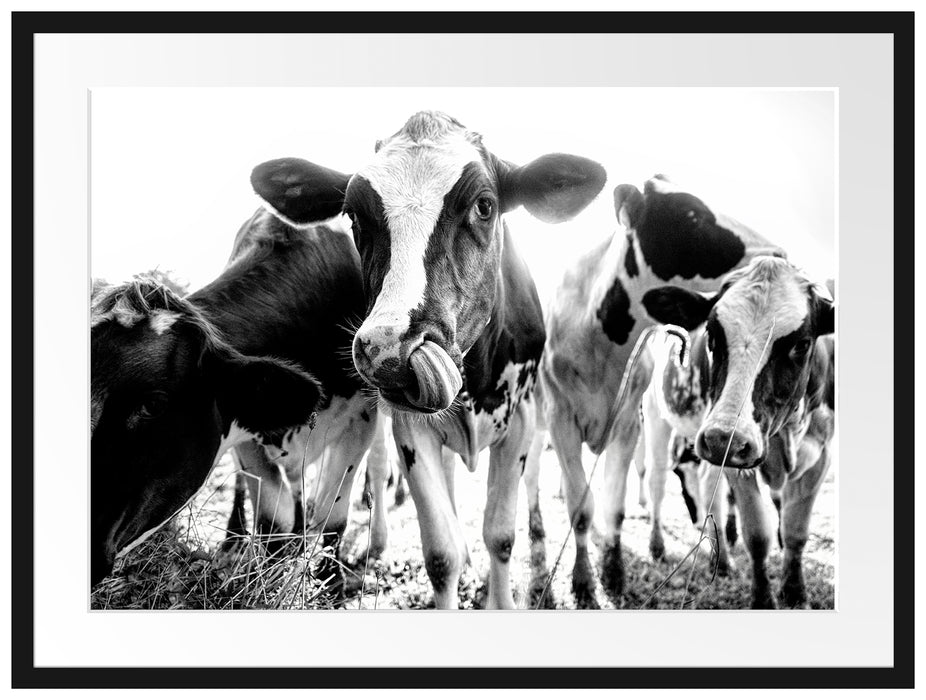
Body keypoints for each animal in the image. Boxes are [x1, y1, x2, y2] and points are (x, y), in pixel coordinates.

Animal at [90, 205, 388, 588]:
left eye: (153, 404)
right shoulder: (245, 431)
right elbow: (274, 520)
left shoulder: (359, 420)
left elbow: (333, 516)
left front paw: (331, 581)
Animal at [248, 109, 608, 608]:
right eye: (354, 215)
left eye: (484, 206)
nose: (389, 350)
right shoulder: (410, 429)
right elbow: (441, 552)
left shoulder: (520, 421)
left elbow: (500, 536)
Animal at [540, 176, 788, 608]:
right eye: (691, 214)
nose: (778, 254)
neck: (603, 341)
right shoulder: (562, 420)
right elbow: (580, 508)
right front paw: (584, 581)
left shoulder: (626, 423)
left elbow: (614, 503)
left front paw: (613, 571)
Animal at [640, 258, 836, 608]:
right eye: (712, 335)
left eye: (801, 344)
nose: (722, 439)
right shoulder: (736, 459)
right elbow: (757, 534)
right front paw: (763, 599)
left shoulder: (820, 456)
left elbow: (797, 530)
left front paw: (795, 591)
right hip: (658, 420)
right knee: (657, 483)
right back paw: (658, 546)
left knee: (707, 486)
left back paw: (720, 558)